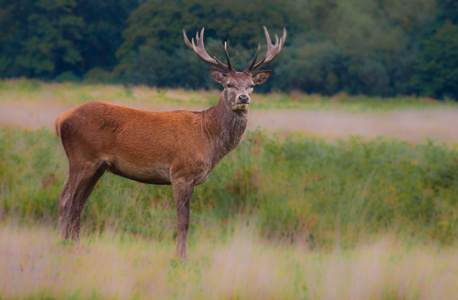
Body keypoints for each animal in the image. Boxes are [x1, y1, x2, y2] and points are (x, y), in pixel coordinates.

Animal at [55, 26, 286, 260]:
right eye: (228, 84)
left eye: (252, 85)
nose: (243, 98)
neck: (208, 138)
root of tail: (61, 119)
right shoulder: (181, 173)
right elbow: (183, 220)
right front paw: (181, 257)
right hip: (82, 158)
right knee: (65, 198)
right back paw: (62, 244)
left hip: (98, 167)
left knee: (78, 203)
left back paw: (77, 245)